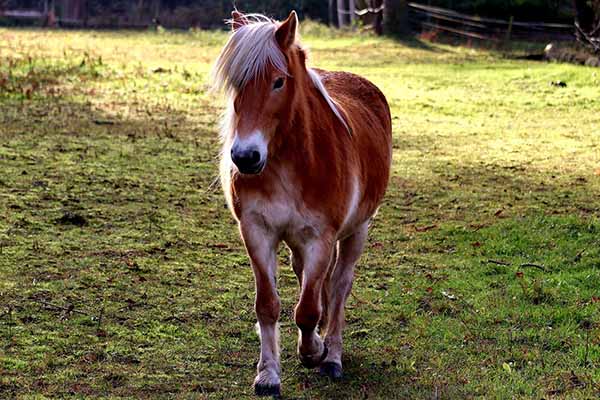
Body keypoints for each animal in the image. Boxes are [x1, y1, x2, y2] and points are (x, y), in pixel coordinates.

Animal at [212, 9, 394, 396]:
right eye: (236, 83)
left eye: (278, 82)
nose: (245, 157)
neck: (291, 163)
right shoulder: (257, 232)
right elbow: (269, 305)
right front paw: (268, 374)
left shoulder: (320, 238)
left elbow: (308, 308)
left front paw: (314, 351)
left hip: (357, 231)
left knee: (339, 286)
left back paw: (333, 355)